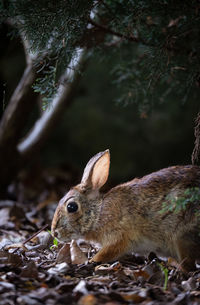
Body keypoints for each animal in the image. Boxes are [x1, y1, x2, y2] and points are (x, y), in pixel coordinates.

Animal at [51, 148, 200, 270]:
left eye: (71, 207)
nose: (54, 233)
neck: (98, 213)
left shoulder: (119, 237)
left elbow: (107, 252)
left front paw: (92, 260)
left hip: (182, 236)